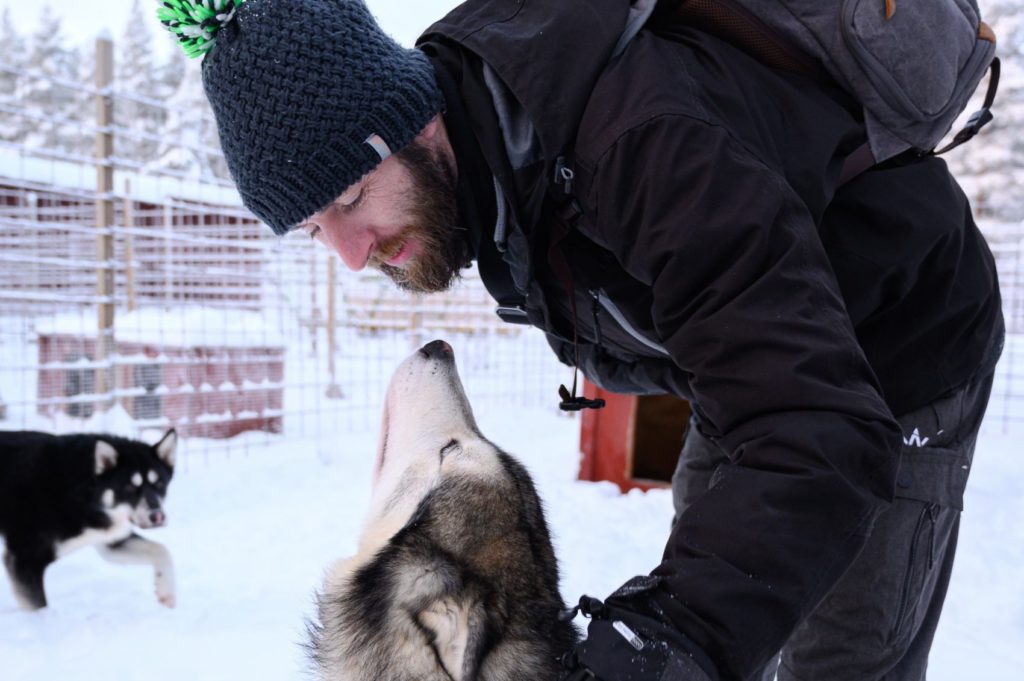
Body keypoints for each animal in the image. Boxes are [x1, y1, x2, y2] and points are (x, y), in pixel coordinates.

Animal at [0, 428, 178, 606]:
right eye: (129, 487)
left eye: (160, 484)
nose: (157, 516)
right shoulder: (25, 559)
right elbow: (38, 606)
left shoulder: (111, 541)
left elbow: (161, 550)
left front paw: (166, 591)